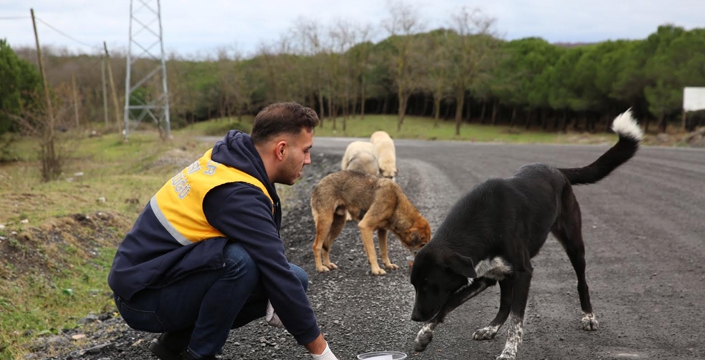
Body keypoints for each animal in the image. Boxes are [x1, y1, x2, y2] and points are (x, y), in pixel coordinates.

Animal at [408, 110, 644, 360]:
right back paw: (490, 328)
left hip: (573, 244)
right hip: (504, 273)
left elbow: (516, 318)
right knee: (504, 303)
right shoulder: (483, 276)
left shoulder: (523, 272)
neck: (483, 222)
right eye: (414, 285)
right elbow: (449, 304)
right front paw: (424, 334)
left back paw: (588, 316)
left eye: (428, 285)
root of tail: (557, 170)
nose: (414, 317)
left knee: (582, 282)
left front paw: (509, 351)